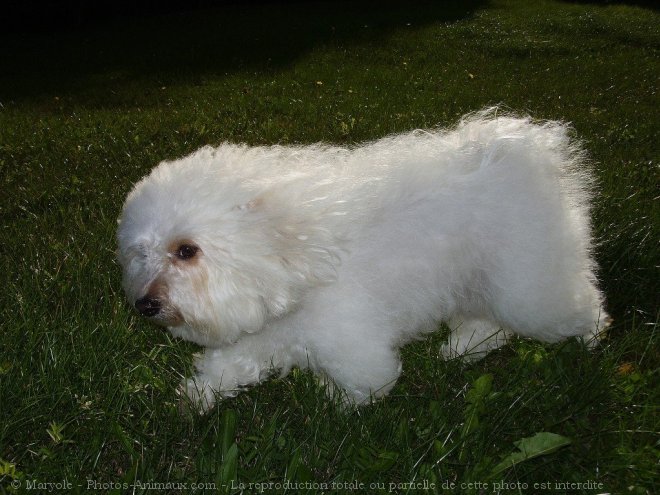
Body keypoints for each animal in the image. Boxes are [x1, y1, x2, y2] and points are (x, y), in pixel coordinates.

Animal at [117, 110, 608, 412]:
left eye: (187, 250)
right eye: (140, 254)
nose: (145, 304)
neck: (294, 257)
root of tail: (531, 149)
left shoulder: (349, 338)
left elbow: (367, 381)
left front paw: (334, 402)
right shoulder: (267, 331)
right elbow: (229, 367)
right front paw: (193, 399)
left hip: (529, 288)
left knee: (578, 305)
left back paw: (593, 340)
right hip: (482, 281)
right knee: (489, 323)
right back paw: (460, 349)